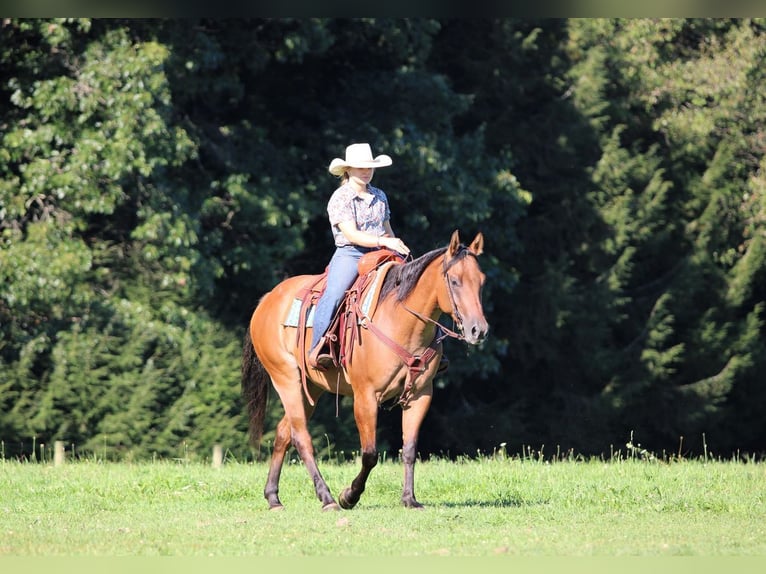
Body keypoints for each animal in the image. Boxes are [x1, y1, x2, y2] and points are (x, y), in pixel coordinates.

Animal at [241, 230, 488, 510]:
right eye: (455, 281)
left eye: (481, 281)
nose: (478, 330)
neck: (401, 322)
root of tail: (267, 300)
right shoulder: (365, 396)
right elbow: (370, 454)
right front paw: (349, 496)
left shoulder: (421, 394)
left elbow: (409, 449)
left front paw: (409, 499)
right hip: (286, 380)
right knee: (301, 437)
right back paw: (327, 498)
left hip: (311, 388)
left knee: (284, 432)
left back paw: (273, 497)